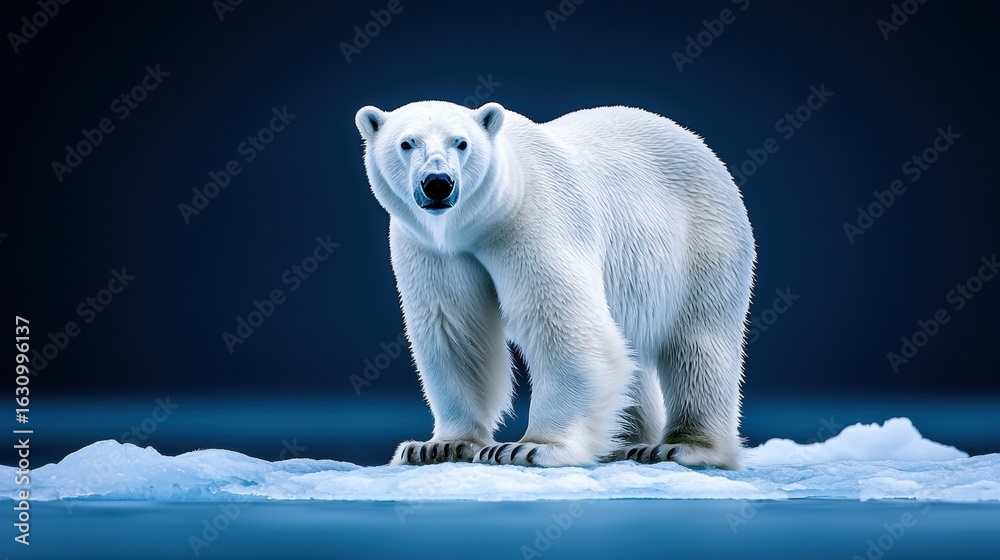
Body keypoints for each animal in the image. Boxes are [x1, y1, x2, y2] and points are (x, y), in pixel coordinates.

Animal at [354, 100, 755, 469]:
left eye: (461, 142)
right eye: (407, 143)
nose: (438, 183)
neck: (482, 219)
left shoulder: (534, 218)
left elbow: (561, 324)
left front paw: (528, 447)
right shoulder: (432, 249)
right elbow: (456, 331)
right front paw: (438, 446)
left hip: (703, 240)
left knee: (698, 341)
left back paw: (680, 447)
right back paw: (626, 442)